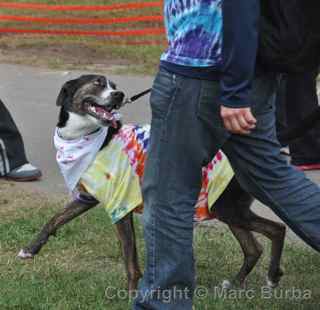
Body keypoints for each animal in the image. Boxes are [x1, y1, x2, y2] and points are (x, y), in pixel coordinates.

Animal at [18, 74, 284, 290]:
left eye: (114, 86)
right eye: (97, 83)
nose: (119, 95)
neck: (88, 137)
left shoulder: (120, 205)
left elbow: (129, 257)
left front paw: (130, 293)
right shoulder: (87, 198)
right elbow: (55, 220)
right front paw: (30, 250)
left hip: (226, 207)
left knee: (277, 229)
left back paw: (272, 276)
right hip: (225, 207)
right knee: (253, 249)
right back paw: (236, 284)